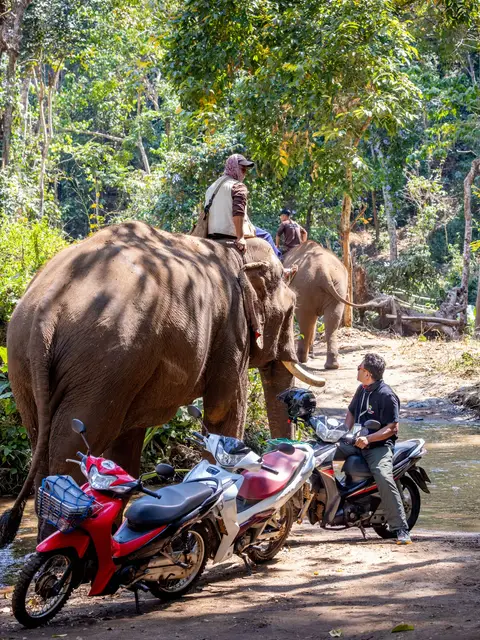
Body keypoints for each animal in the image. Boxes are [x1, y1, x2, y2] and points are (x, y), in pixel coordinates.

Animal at [0, 221, 325, 547]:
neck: (236, 251)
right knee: (72, 447)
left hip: (28, 364)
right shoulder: (231, 330)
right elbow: (224, 409)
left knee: (41, 442)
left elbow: (128, 441)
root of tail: (46, 313)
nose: (282, 521)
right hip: (100, 361)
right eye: (290, 311)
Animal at [283, 240, 363, 370]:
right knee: (332, 320)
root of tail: (324, 271)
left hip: (306, 287)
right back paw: (332, 365)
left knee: (306, 320)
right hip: (339, 286)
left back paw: (301, 360)